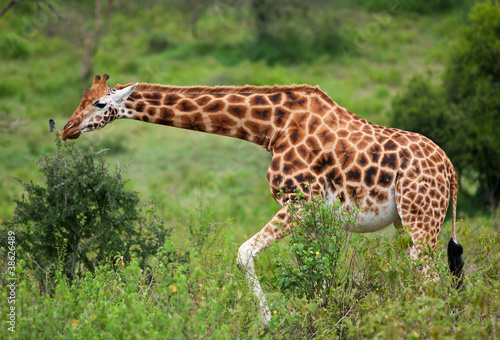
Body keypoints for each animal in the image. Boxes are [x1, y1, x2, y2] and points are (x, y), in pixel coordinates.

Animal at [62, 74, 464, 324]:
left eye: (99, 104)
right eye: (81, 100)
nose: (66, 129)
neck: (271, 128)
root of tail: (450, 171)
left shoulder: (298, 203)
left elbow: (244, 253)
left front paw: (268, 320)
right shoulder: (318, 215)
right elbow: (317, 271)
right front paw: (321, 317)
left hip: (421, 218)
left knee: (430, 279)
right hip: (406, 222)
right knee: (423, 276)